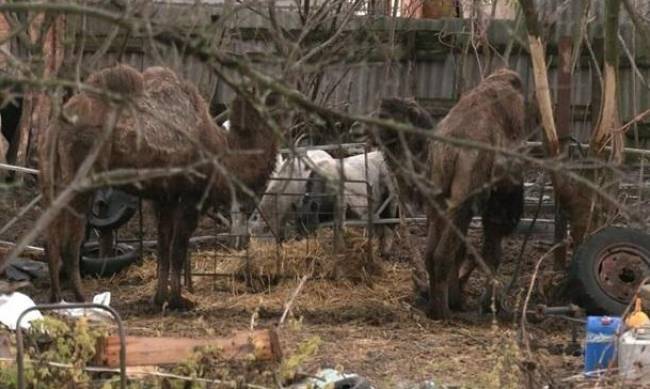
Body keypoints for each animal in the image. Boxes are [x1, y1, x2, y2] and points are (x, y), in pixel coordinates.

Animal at [38, 64, 276, 310]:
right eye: (267, 94)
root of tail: (58, 126)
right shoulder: (192, 195)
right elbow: (178, 248)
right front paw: (179, 301)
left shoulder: (164, 197)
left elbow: (163, 246)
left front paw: (160, 298)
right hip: (80, 181)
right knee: (71, 242)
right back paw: (80, 298)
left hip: (49, 175)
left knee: (50, 237)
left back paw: (55, 297)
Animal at [372, 69, 524, 318]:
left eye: (386, 115)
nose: (359, 127)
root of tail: (451, 148)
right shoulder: (496, 198)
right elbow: (489, 248)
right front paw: (484, 304)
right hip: (466, 195)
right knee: (446, 252)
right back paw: (443, 311)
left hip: (444, 197)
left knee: (434, 252)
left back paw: (440, 305)